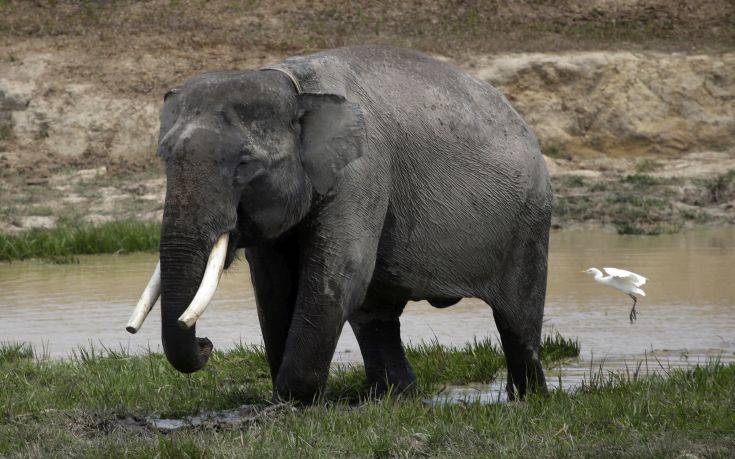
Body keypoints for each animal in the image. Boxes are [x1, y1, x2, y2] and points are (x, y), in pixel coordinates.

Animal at [126, 43, 552, 402]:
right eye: (165, 158)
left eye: (245, 164)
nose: (207, 345)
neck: (291, 84)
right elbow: (272, 284)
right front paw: (285, 398)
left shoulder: (362, 170)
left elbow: (339, 270)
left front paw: (292, 400)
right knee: (375, 315)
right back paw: (394, 398)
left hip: (529, 220)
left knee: (516, 320)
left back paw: (527, 400)